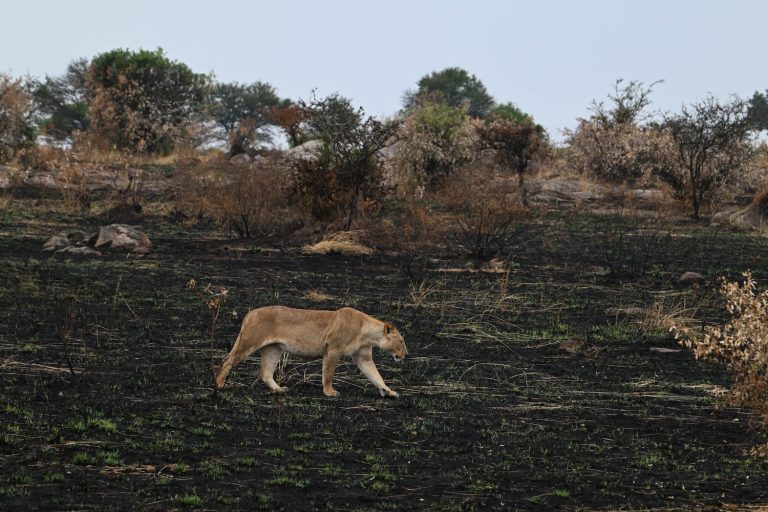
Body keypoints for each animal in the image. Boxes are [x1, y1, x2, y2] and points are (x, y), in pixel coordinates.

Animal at [215, 306, 407, 398]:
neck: (366, 333)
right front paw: (329, 392)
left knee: (265, 373)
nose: (406, 355)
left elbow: (375, 375)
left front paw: (389, 392)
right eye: (402, 341)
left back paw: (279, 390)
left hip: (273, 349)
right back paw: (220, 384)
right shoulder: (333, 349)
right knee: (227, 360)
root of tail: (250, 314)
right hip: (250, 341)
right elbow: (328, 374)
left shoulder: (363, 357)